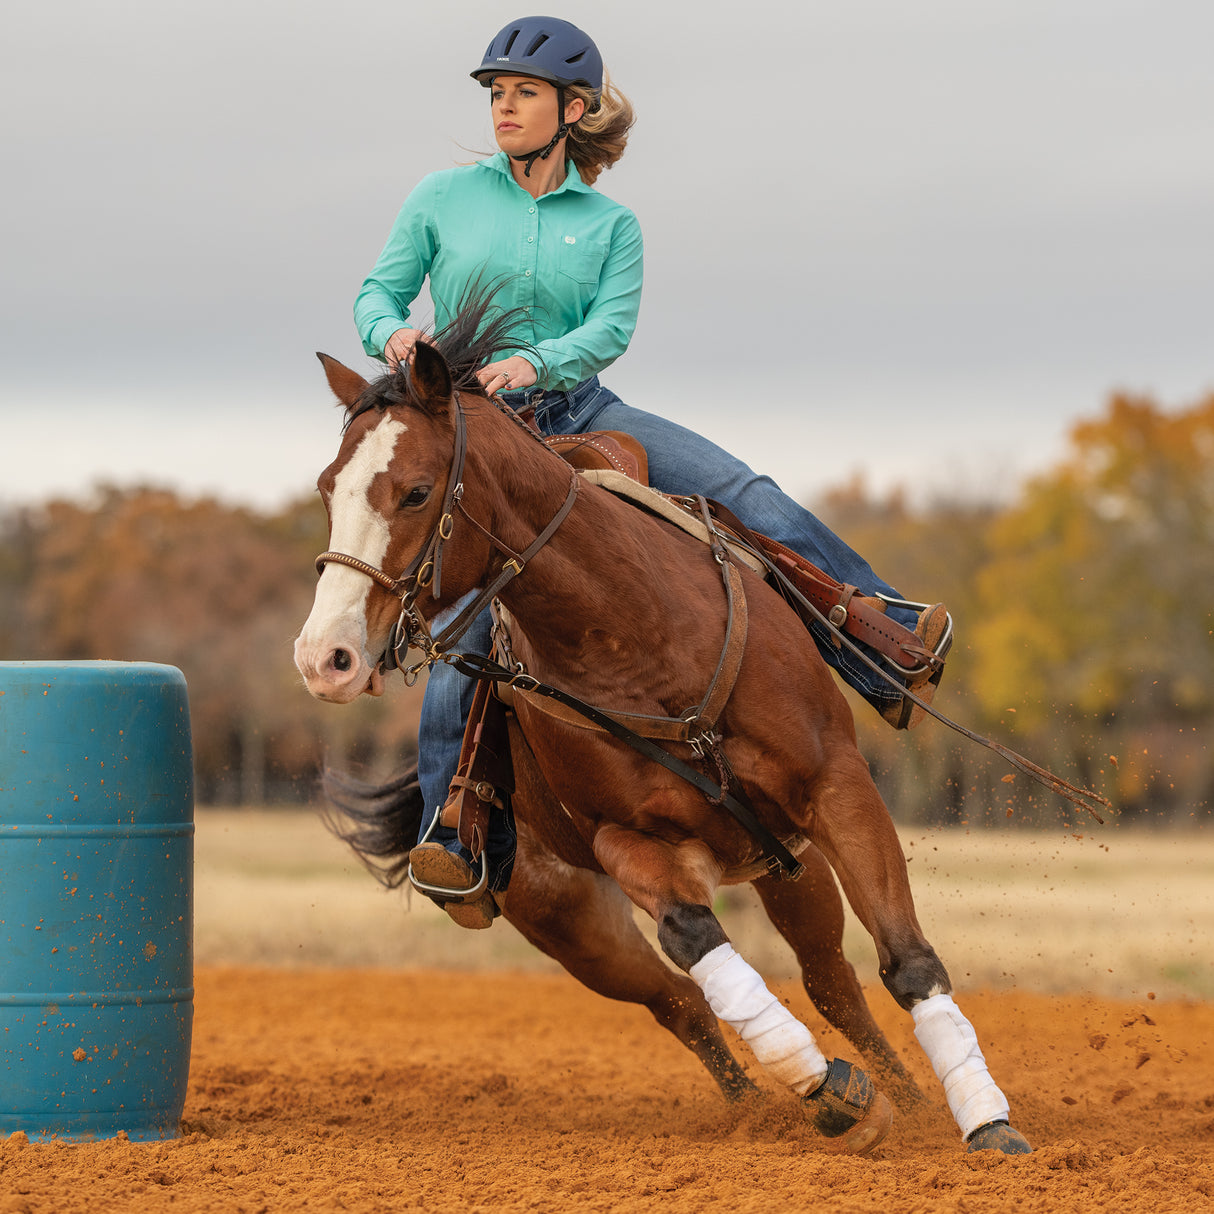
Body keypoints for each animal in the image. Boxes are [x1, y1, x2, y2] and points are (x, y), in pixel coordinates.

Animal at [293, 302, 1033, 1156]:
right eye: (327, 490)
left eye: (415, 493)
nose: (325, 658)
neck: (642, 637)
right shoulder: (632, 843)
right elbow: (696, 945)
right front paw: (834, 1092)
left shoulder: (837, 790)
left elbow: (905, 958)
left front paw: (987, 1121)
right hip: (570, 917)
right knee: (680, 1001)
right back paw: (773, 1106)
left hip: (784, 861)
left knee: (830, 981)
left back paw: (908, 1102)